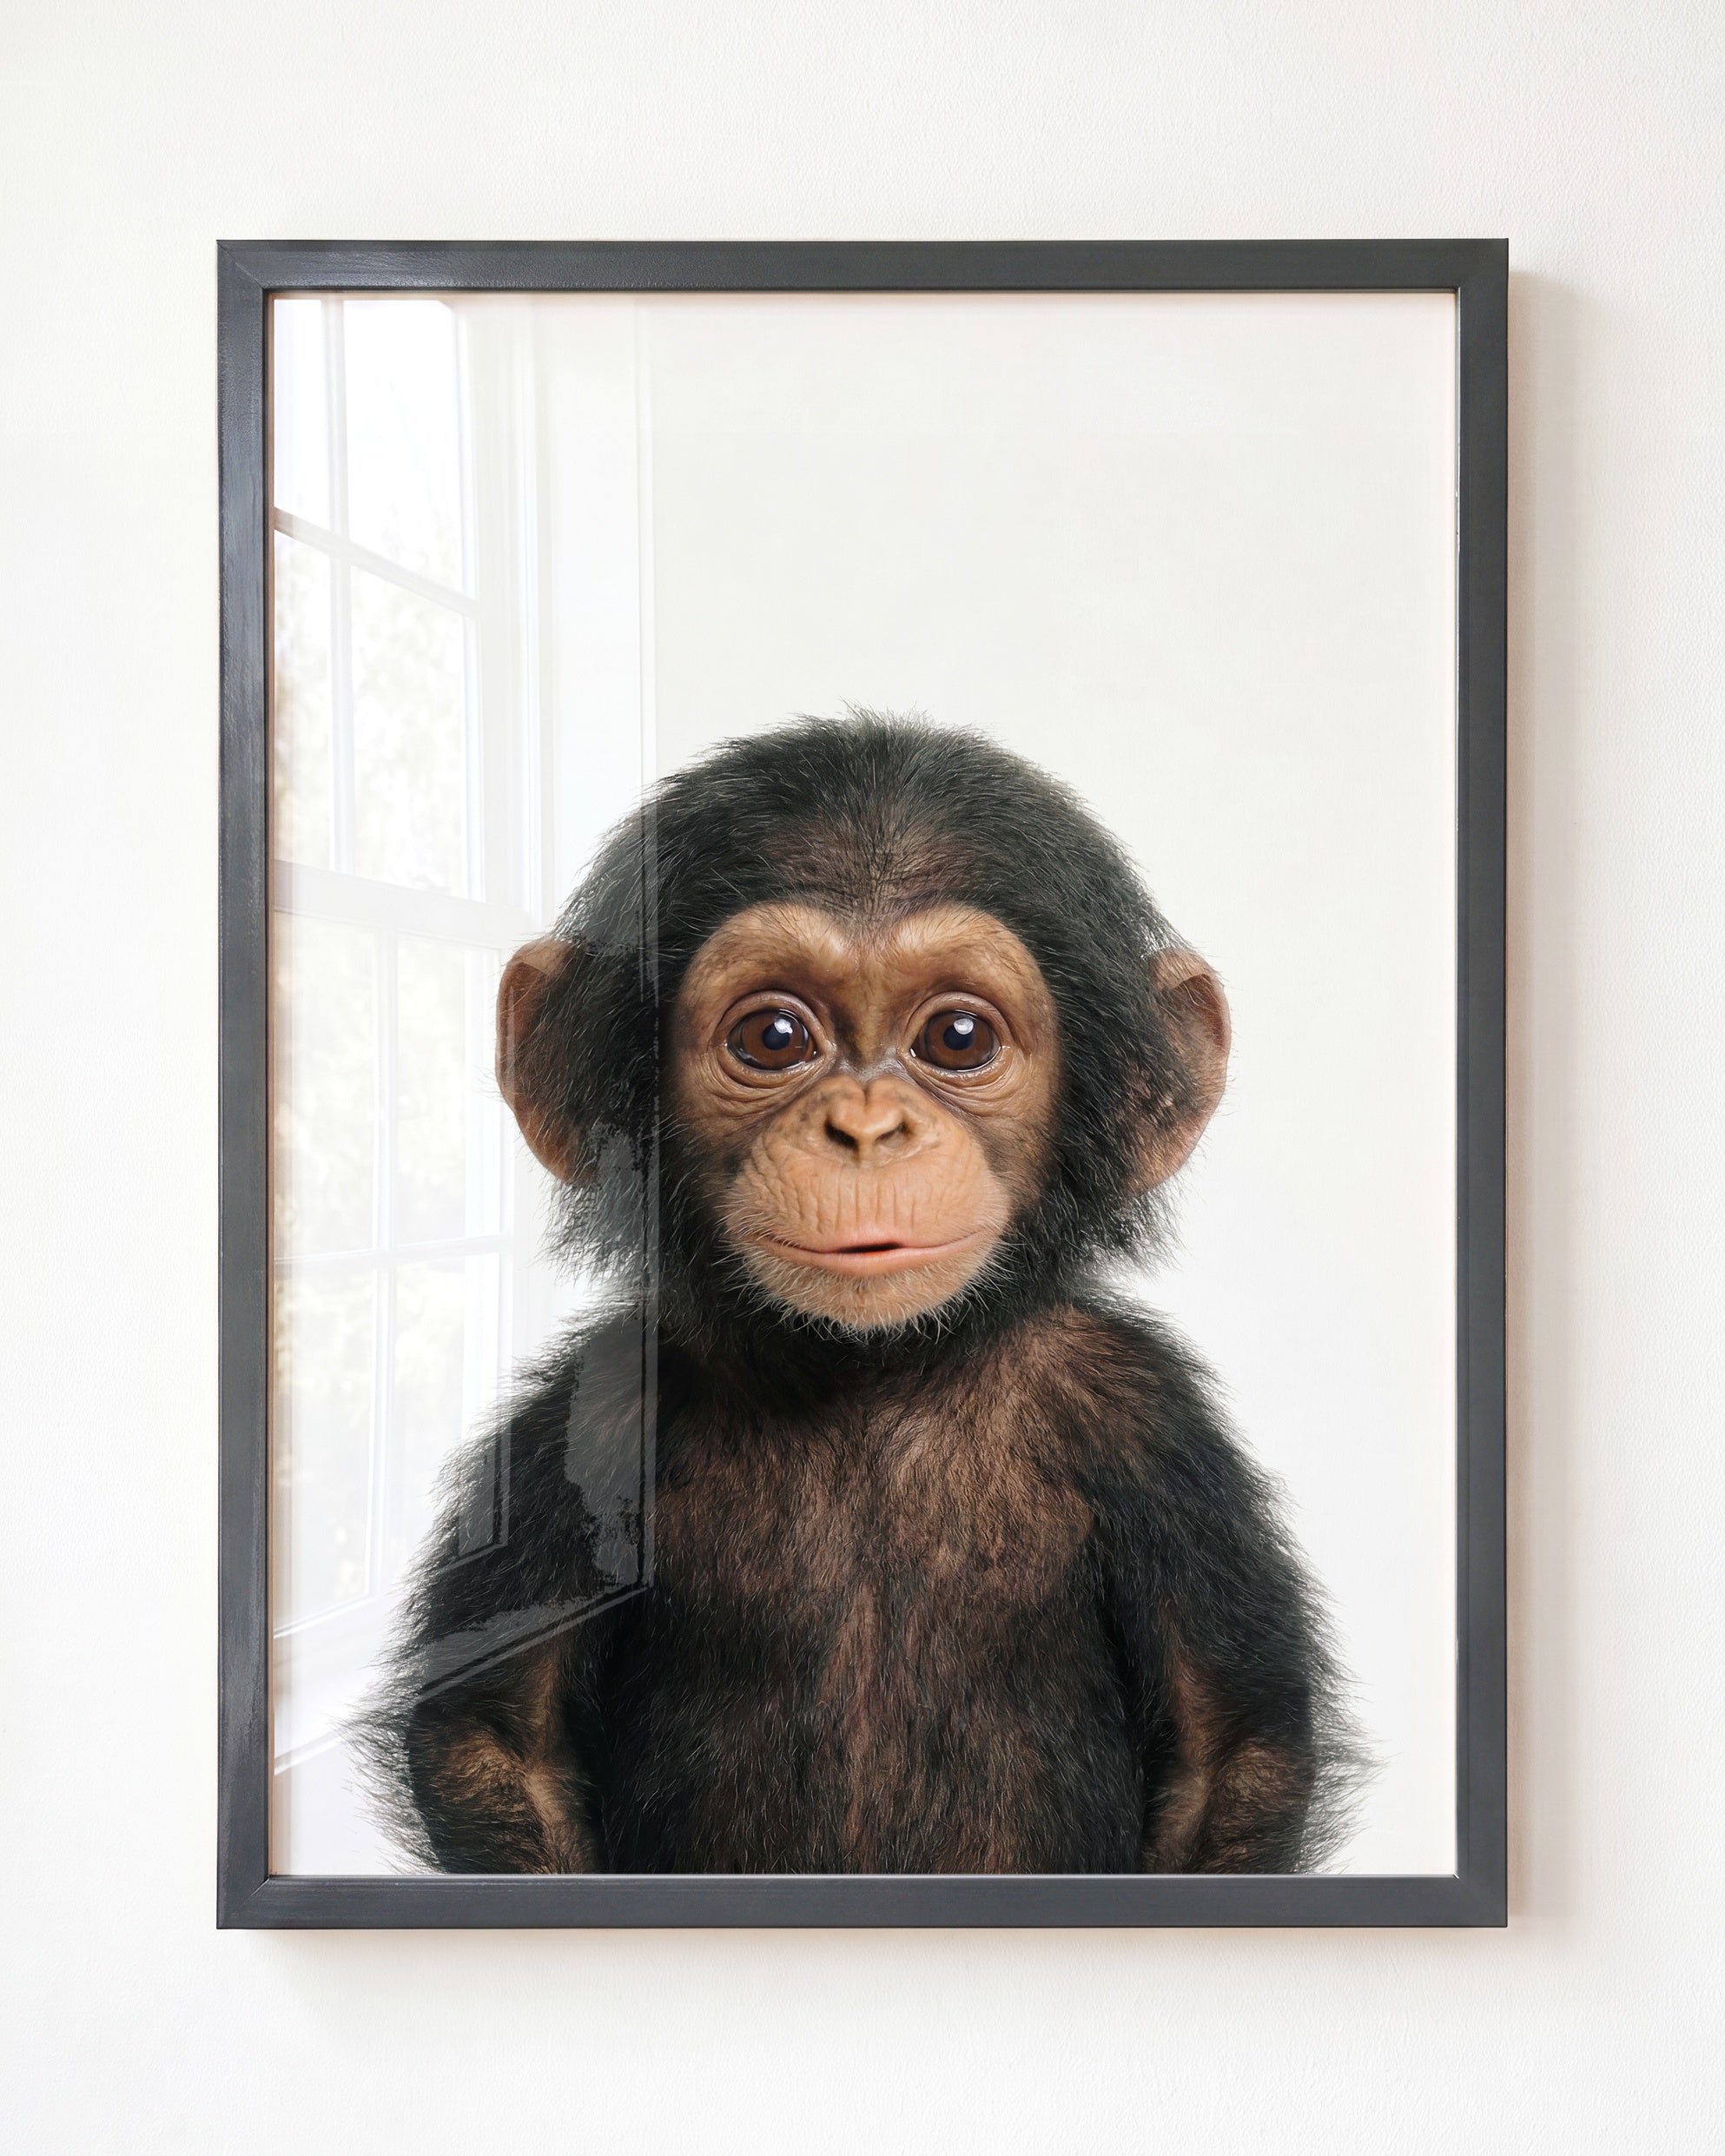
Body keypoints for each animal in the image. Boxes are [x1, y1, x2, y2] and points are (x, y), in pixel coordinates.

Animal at [360, 713, 1362, 1875]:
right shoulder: (586, 1420)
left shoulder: (1150, 1424)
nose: (868, 1128)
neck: (872, 1374)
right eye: (773, 1037)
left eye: (958, 1038)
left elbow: (1227, 1747)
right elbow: (496, 1735)